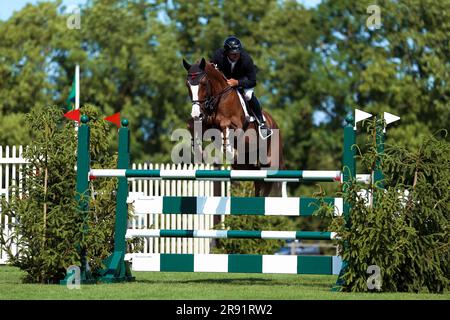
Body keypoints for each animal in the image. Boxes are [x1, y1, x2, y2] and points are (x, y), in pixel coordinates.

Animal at [182, 58, 284, 198]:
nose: (196, 113)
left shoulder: (236, 125)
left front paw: (228, 149)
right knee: (257, 178)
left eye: (203, 83)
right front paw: (198, 151)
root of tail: (274, 122)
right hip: (246, 163)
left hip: (269, 160)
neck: (217, 99)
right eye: (188, 85)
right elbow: (191, 125)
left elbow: (225, 126)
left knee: (267, 181)